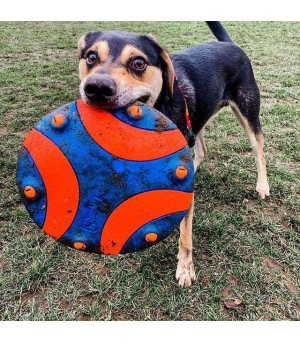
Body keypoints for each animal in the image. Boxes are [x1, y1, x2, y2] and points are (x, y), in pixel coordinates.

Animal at [77, 22, 270, 288]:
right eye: (91, 57)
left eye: (139, 63)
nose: (96, 88)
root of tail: (230, 44)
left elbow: (185, 234)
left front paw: (186, 269)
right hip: (196, 120)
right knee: (201, 149)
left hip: (248, 112)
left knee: (259, 150)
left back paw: (262, 186)